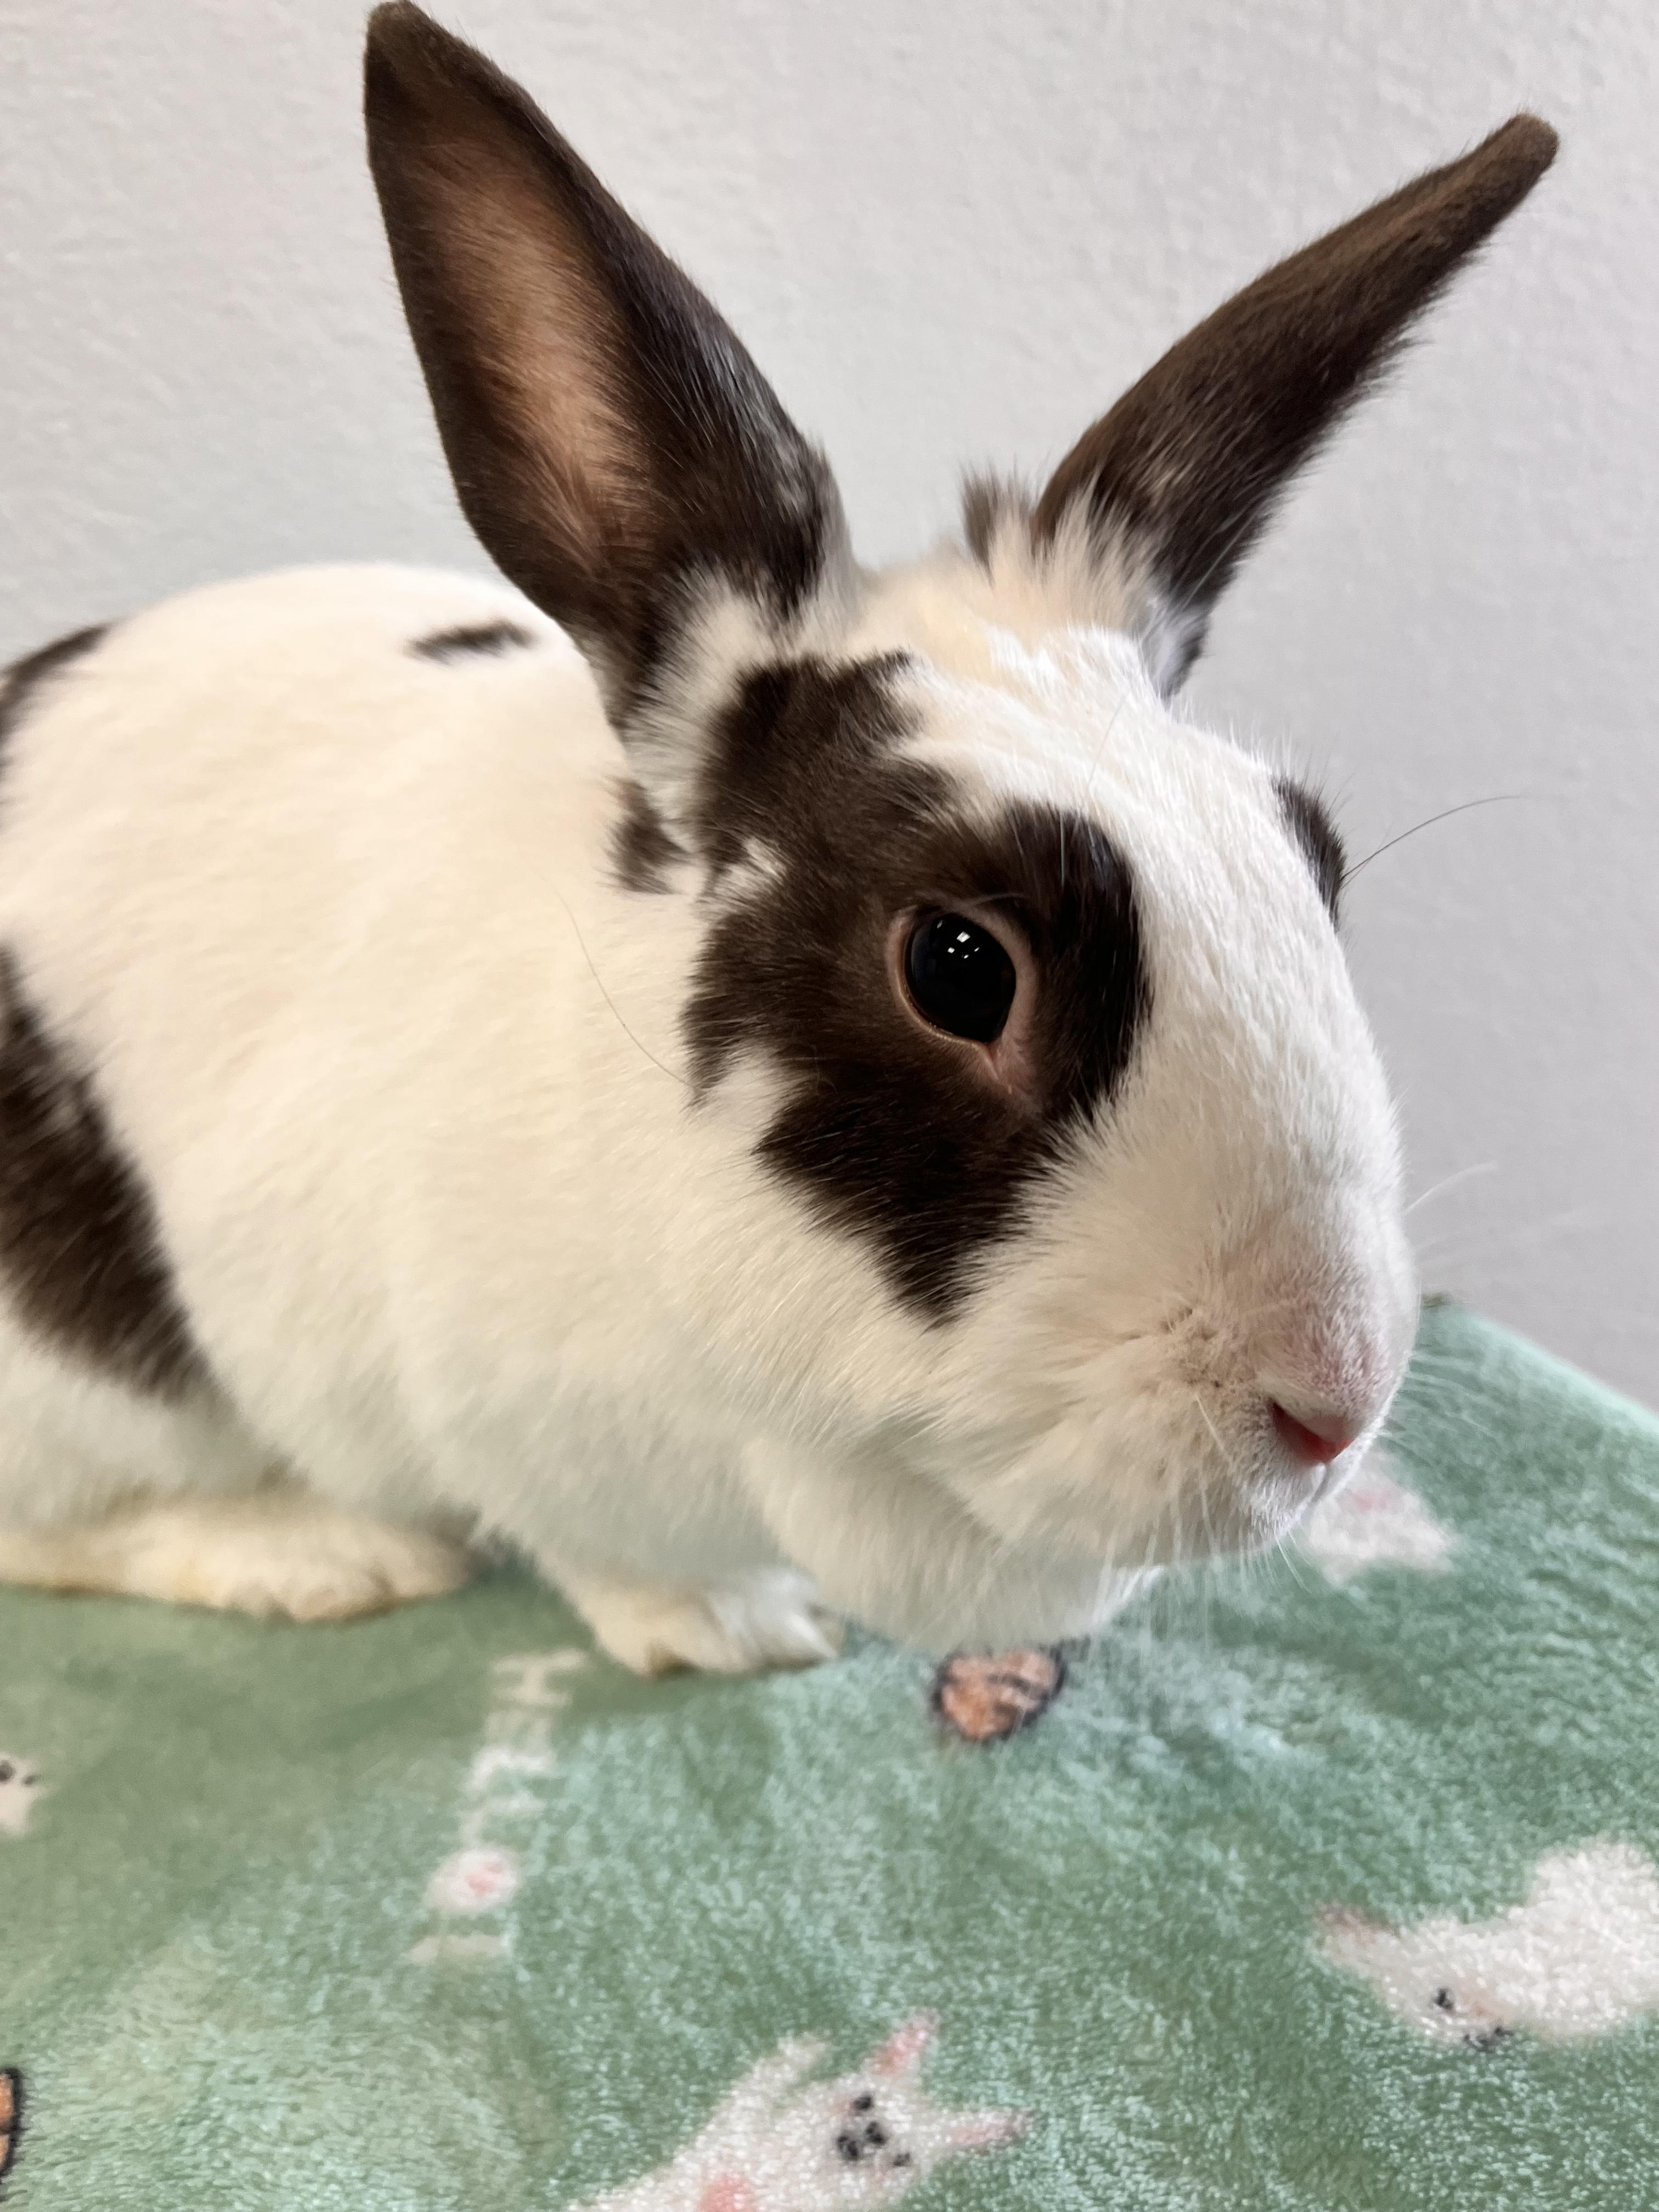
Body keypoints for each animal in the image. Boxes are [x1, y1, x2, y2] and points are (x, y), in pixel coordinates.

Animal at [0, 4, 1555, 1673]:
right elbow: (608, 1555)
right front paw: (741, 1635)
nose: (1334, 1406)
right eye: (960, 967)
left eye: (1312, 860)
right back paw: (323, 1558)